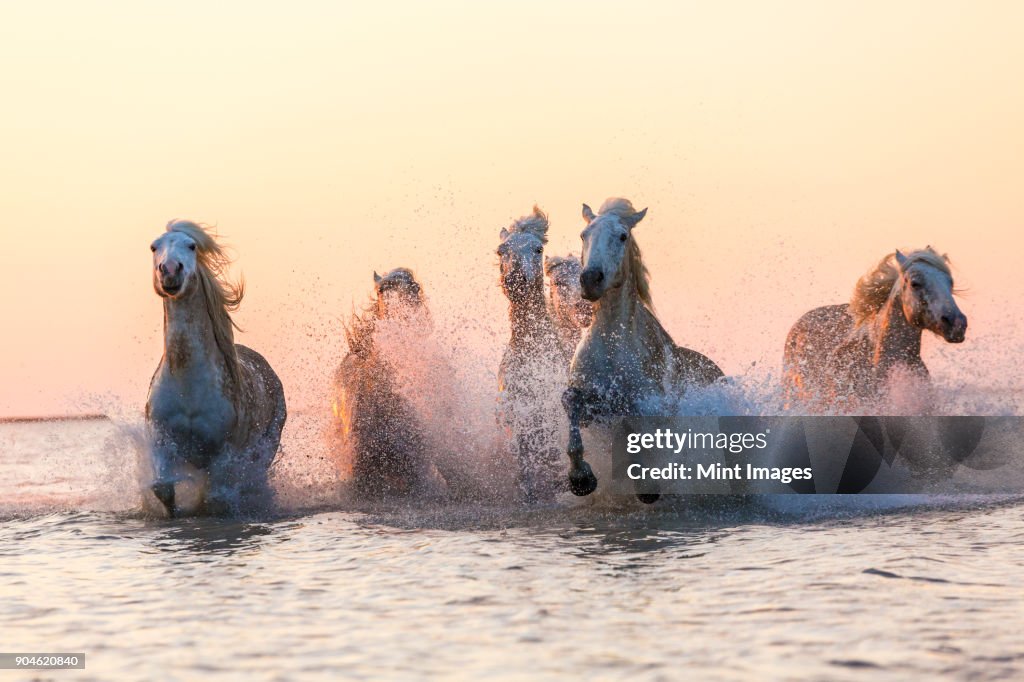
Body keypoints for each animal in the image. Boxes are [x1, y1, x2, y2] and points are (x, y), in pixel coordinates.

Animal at [146, 220, 286, 512]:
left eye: (191, 246)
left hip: (266, 447)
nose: (170, 270)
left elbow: (216, 498)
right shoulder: (161, 441)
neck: (187, 383)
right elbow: (162, 488)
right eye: (154, 246)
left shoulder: (223, 453)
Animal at [565, 199, 724, 497]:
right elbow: (570, 403)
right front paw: (580, 478)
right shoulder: (594, 406)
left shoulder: (651, 405)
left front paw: (646, 483)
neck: (613, 347)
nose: (590, 279)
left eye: (622, 236)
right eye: (584, 235)